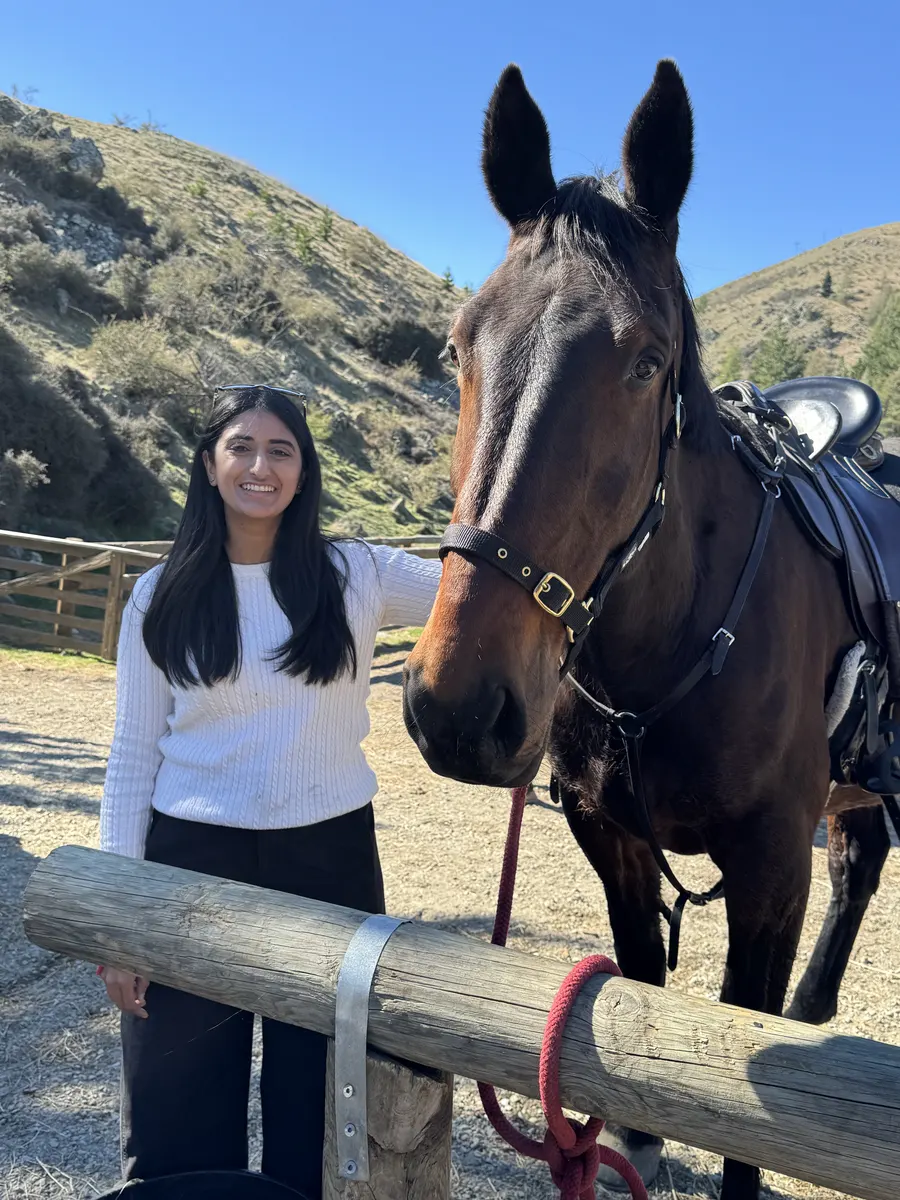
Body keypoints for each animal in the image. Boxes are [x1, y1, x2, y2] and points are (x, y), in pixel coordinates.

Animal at [402, 61, 893, 1199]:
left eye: (644, 360)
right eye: (459, 344)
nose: (461, 707)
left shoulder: (769, 872)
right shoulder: (611, 840)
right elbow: (636, 1032)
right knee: (863, 851)